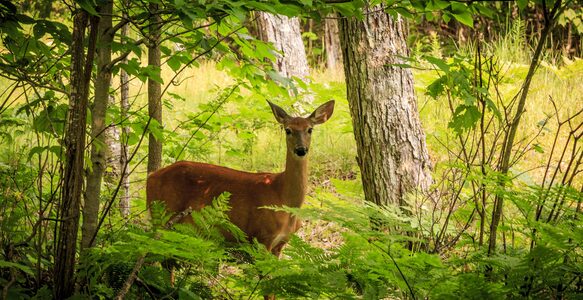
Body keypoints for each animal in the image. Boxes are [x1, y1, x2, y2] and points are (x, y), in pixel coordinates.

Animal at [146, 99, 336, 258]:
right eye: (288, 130)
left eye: (310, 129)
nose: (301, 149)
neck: (283, 197)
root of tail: (151, 176)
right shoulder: (262, 237)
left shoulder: (280, 244)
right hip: (163, 215)